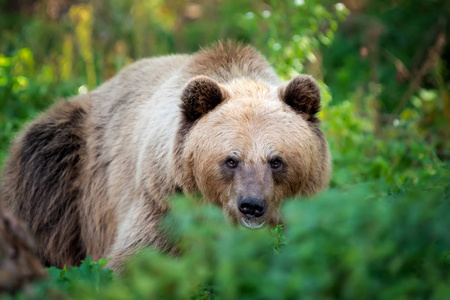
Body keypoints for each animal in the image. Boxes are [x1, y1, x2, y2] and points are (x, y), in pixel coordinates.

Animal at [0, 41, 330, 274]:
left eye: (276, 160)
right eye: (230, 160)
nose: (251, 206)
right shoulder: (164, 203)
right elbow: (136, 262)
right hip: (68, 157)